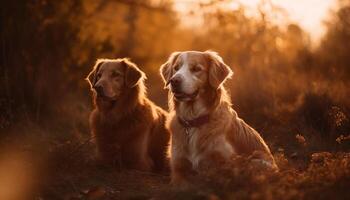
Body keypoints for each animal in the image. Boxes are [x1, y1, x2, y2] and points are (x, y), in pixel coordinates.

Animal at [160, 50, 278, 185]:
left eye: (196, 69)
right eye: (176, 68)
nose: (174, 81)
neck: (194, 120)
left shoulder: (226, 164)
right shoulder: (178, 170)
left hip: (256, 162)